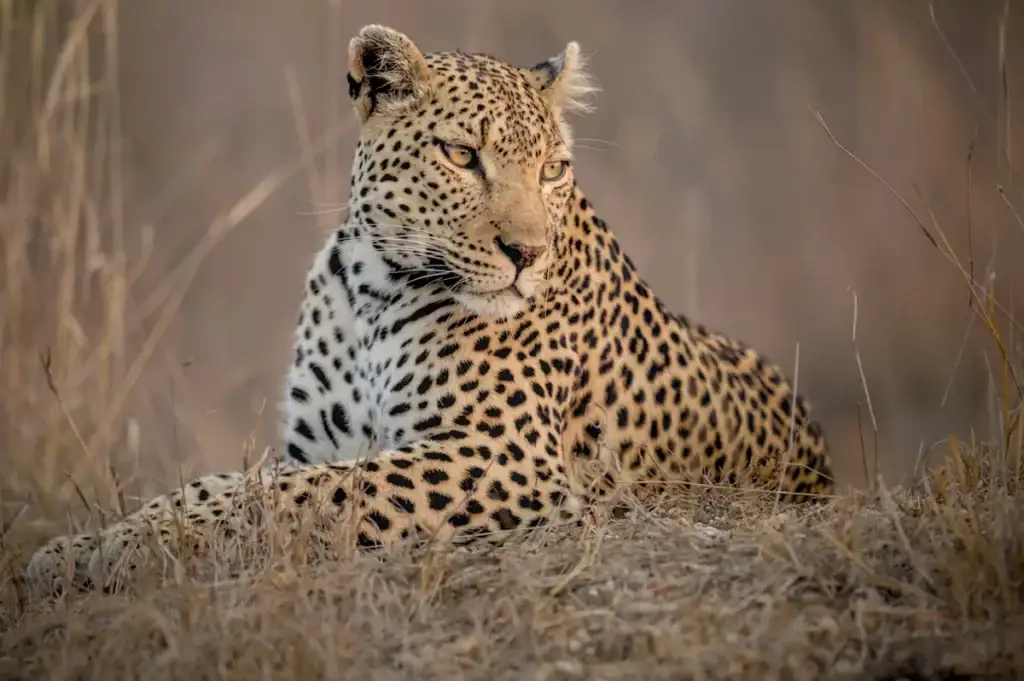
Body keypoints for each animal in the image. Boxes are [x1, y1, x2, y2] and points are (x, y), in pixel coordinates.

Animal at [25, 24, 835, 596]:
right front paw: (75, 548)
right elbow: (227, 483)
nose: (526, 253)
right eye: (461, 155)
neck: (373, 288)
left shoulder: (499, 454)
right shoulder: (315, 444)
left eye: (553, 169)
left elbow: (299, 495)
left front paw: (130, 547)